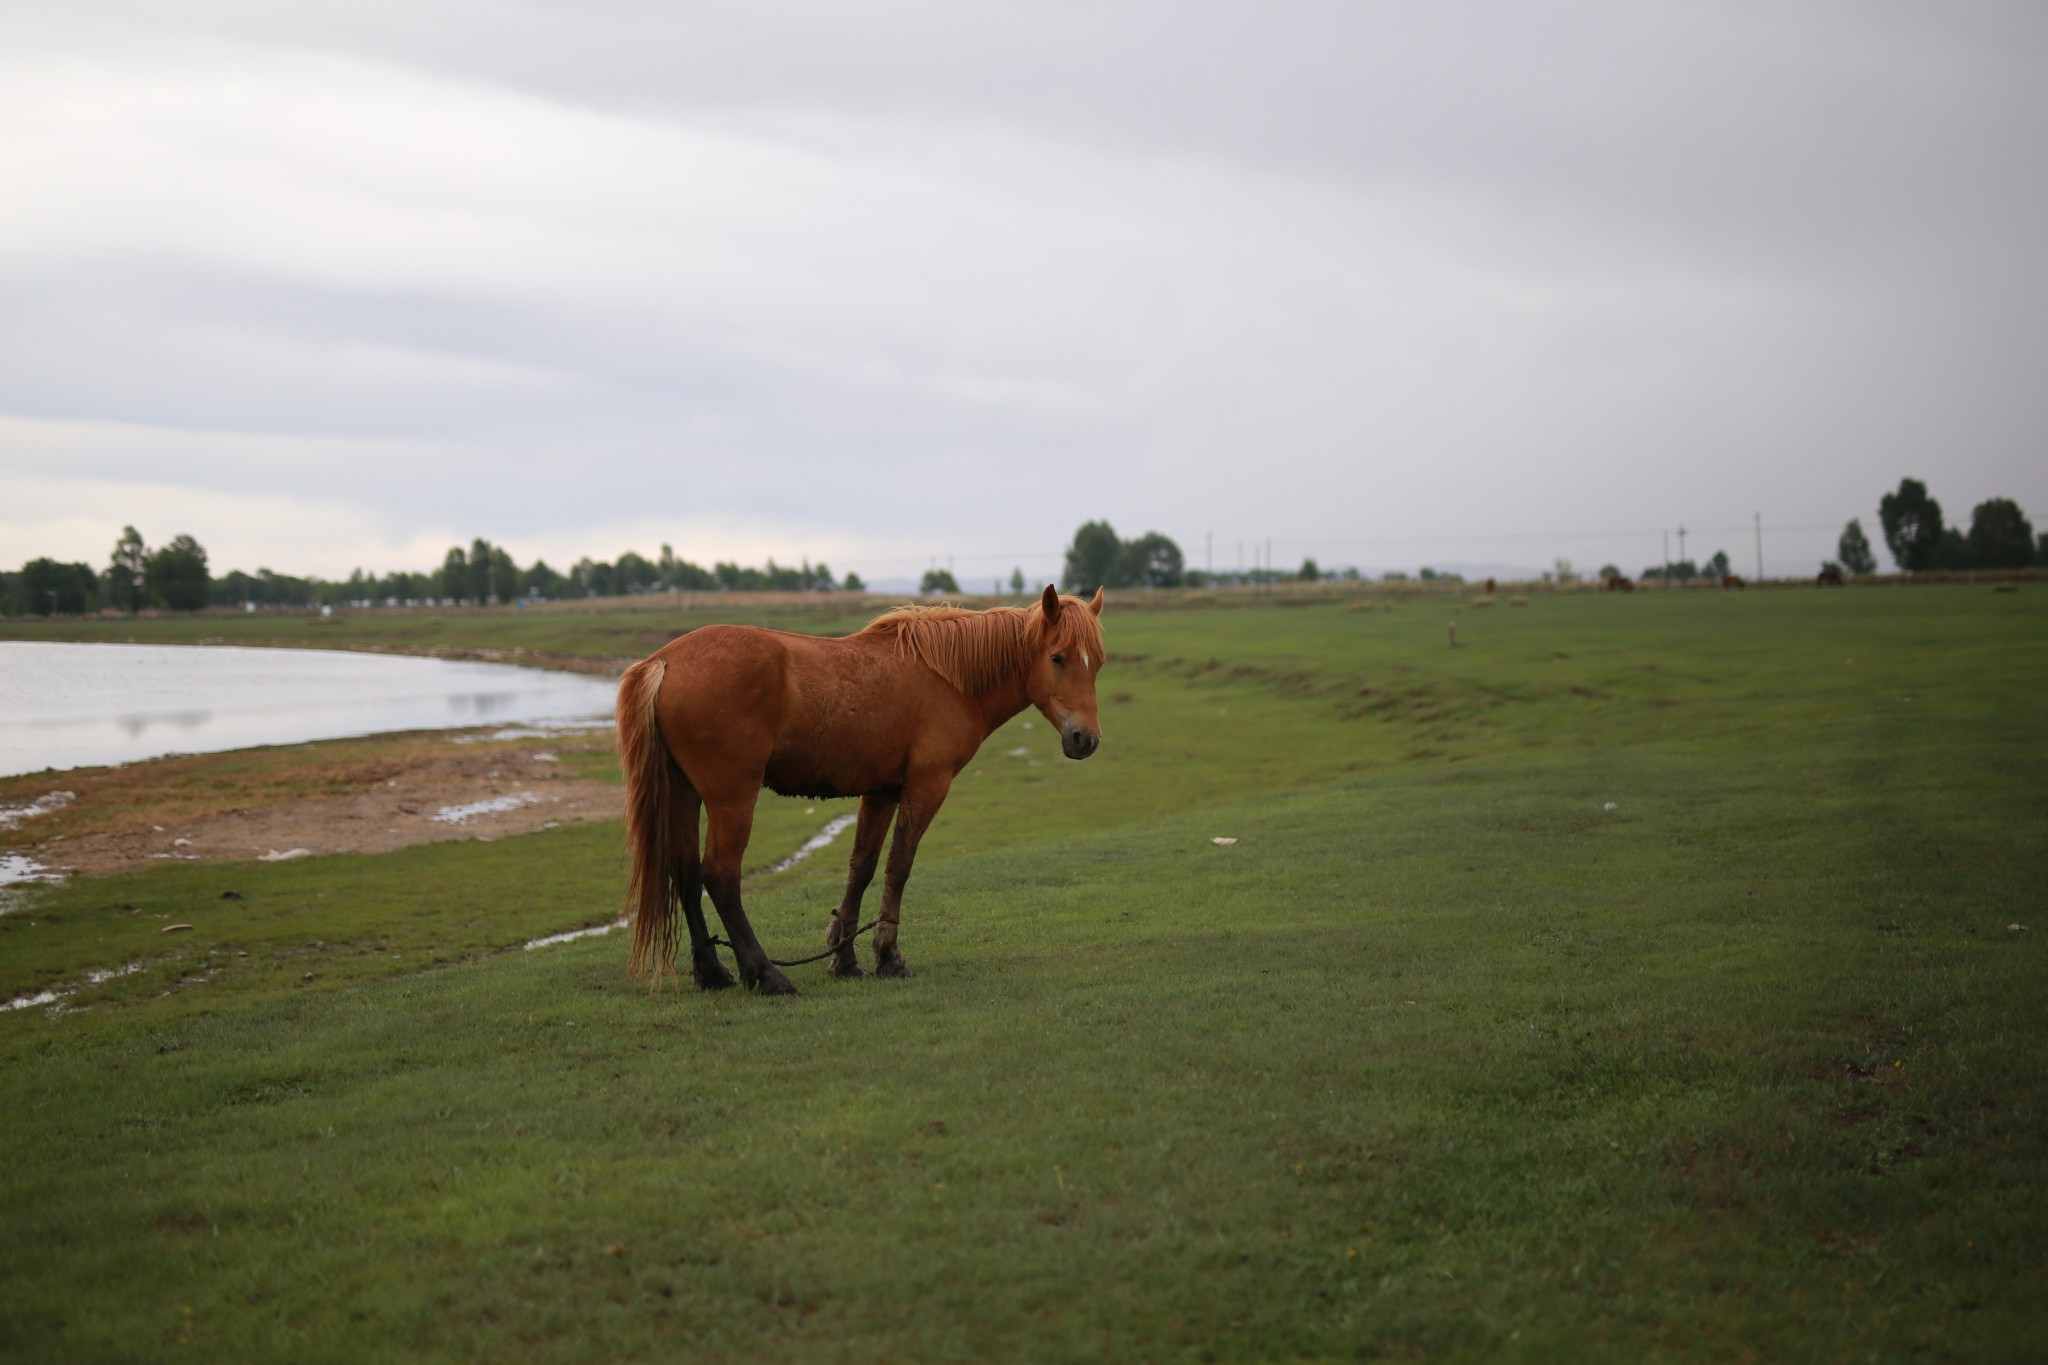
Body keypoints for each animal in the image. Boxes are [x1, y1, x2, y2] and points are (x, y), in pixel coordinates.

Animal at [614, 589, 1105, 994]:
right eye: (1058, 658)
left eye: (1096, 663)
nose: (1086, 740)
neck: (947, 678)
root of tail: (664, 661)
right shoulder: (927, 786)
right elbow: (898, 867)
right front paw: (888, 956)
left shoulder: (882, 791)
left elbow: (862, 868)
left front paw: (844, 957)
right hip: (731, 798)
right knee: (720, 876)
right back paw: (768, 975)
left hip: (684, 793)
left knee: (685, 873)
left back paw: (713, 972)